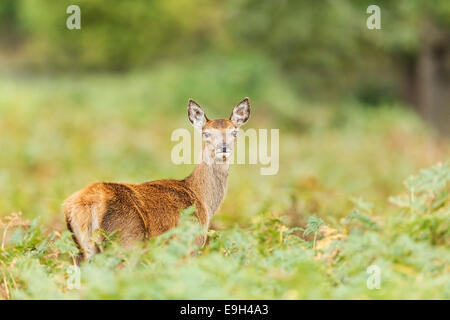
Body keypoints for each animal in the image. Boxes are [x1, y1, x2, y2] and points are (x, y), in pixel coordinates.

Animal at [62, 99, 250, 262]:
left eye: (234, 132)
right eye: (206, 133)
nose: (223, 148)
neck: (202, 199)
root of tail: (87, 204)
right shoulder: (189, 243)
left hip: (83, 247)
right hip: (126, 240)